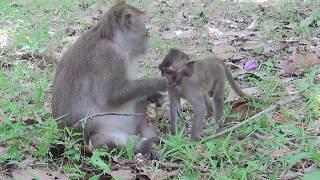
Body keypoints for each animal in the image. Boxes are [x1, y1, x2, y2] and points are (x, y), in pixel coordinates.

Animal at [51, 1, 166, 157]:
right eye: (145, 29)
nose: (147, 38)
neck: (113, 40)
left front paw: (154, 96)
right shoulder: (108, 55)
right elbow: (111, 97)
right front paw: (163, 82)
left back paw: (150, 133)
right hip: (90, 137)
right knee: (100, 138)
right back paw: (145, 145)